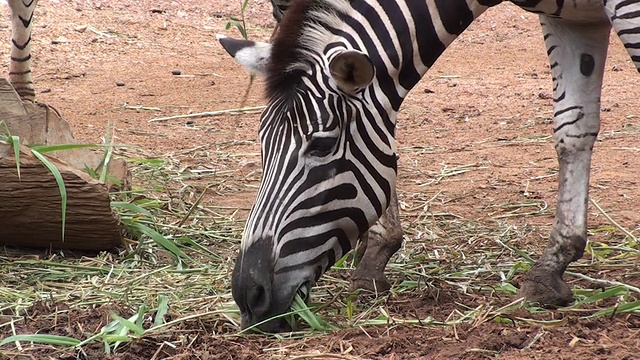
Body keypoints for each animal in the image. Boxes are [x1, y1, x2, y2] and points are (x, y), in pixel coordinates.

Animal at [218, 0, 636, 332]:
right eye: (261, 142)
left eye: (320, 145)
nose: (248, 295)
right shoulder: (570, 19)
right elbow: (573, 127)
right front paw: (551, 269)